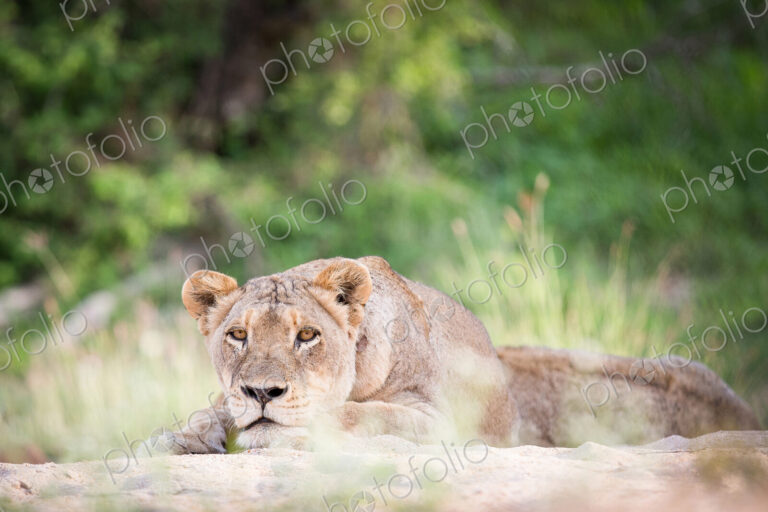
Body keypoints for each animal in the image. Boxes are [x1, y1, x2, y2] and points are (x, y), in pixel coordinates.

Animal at [158, 256, 759, 454]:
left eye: (307, 336)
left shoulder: (440, 423)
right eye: (238, 335)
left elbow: (360, 414)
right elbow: (213, 407)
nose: (262, 391)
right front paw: (184, 434)